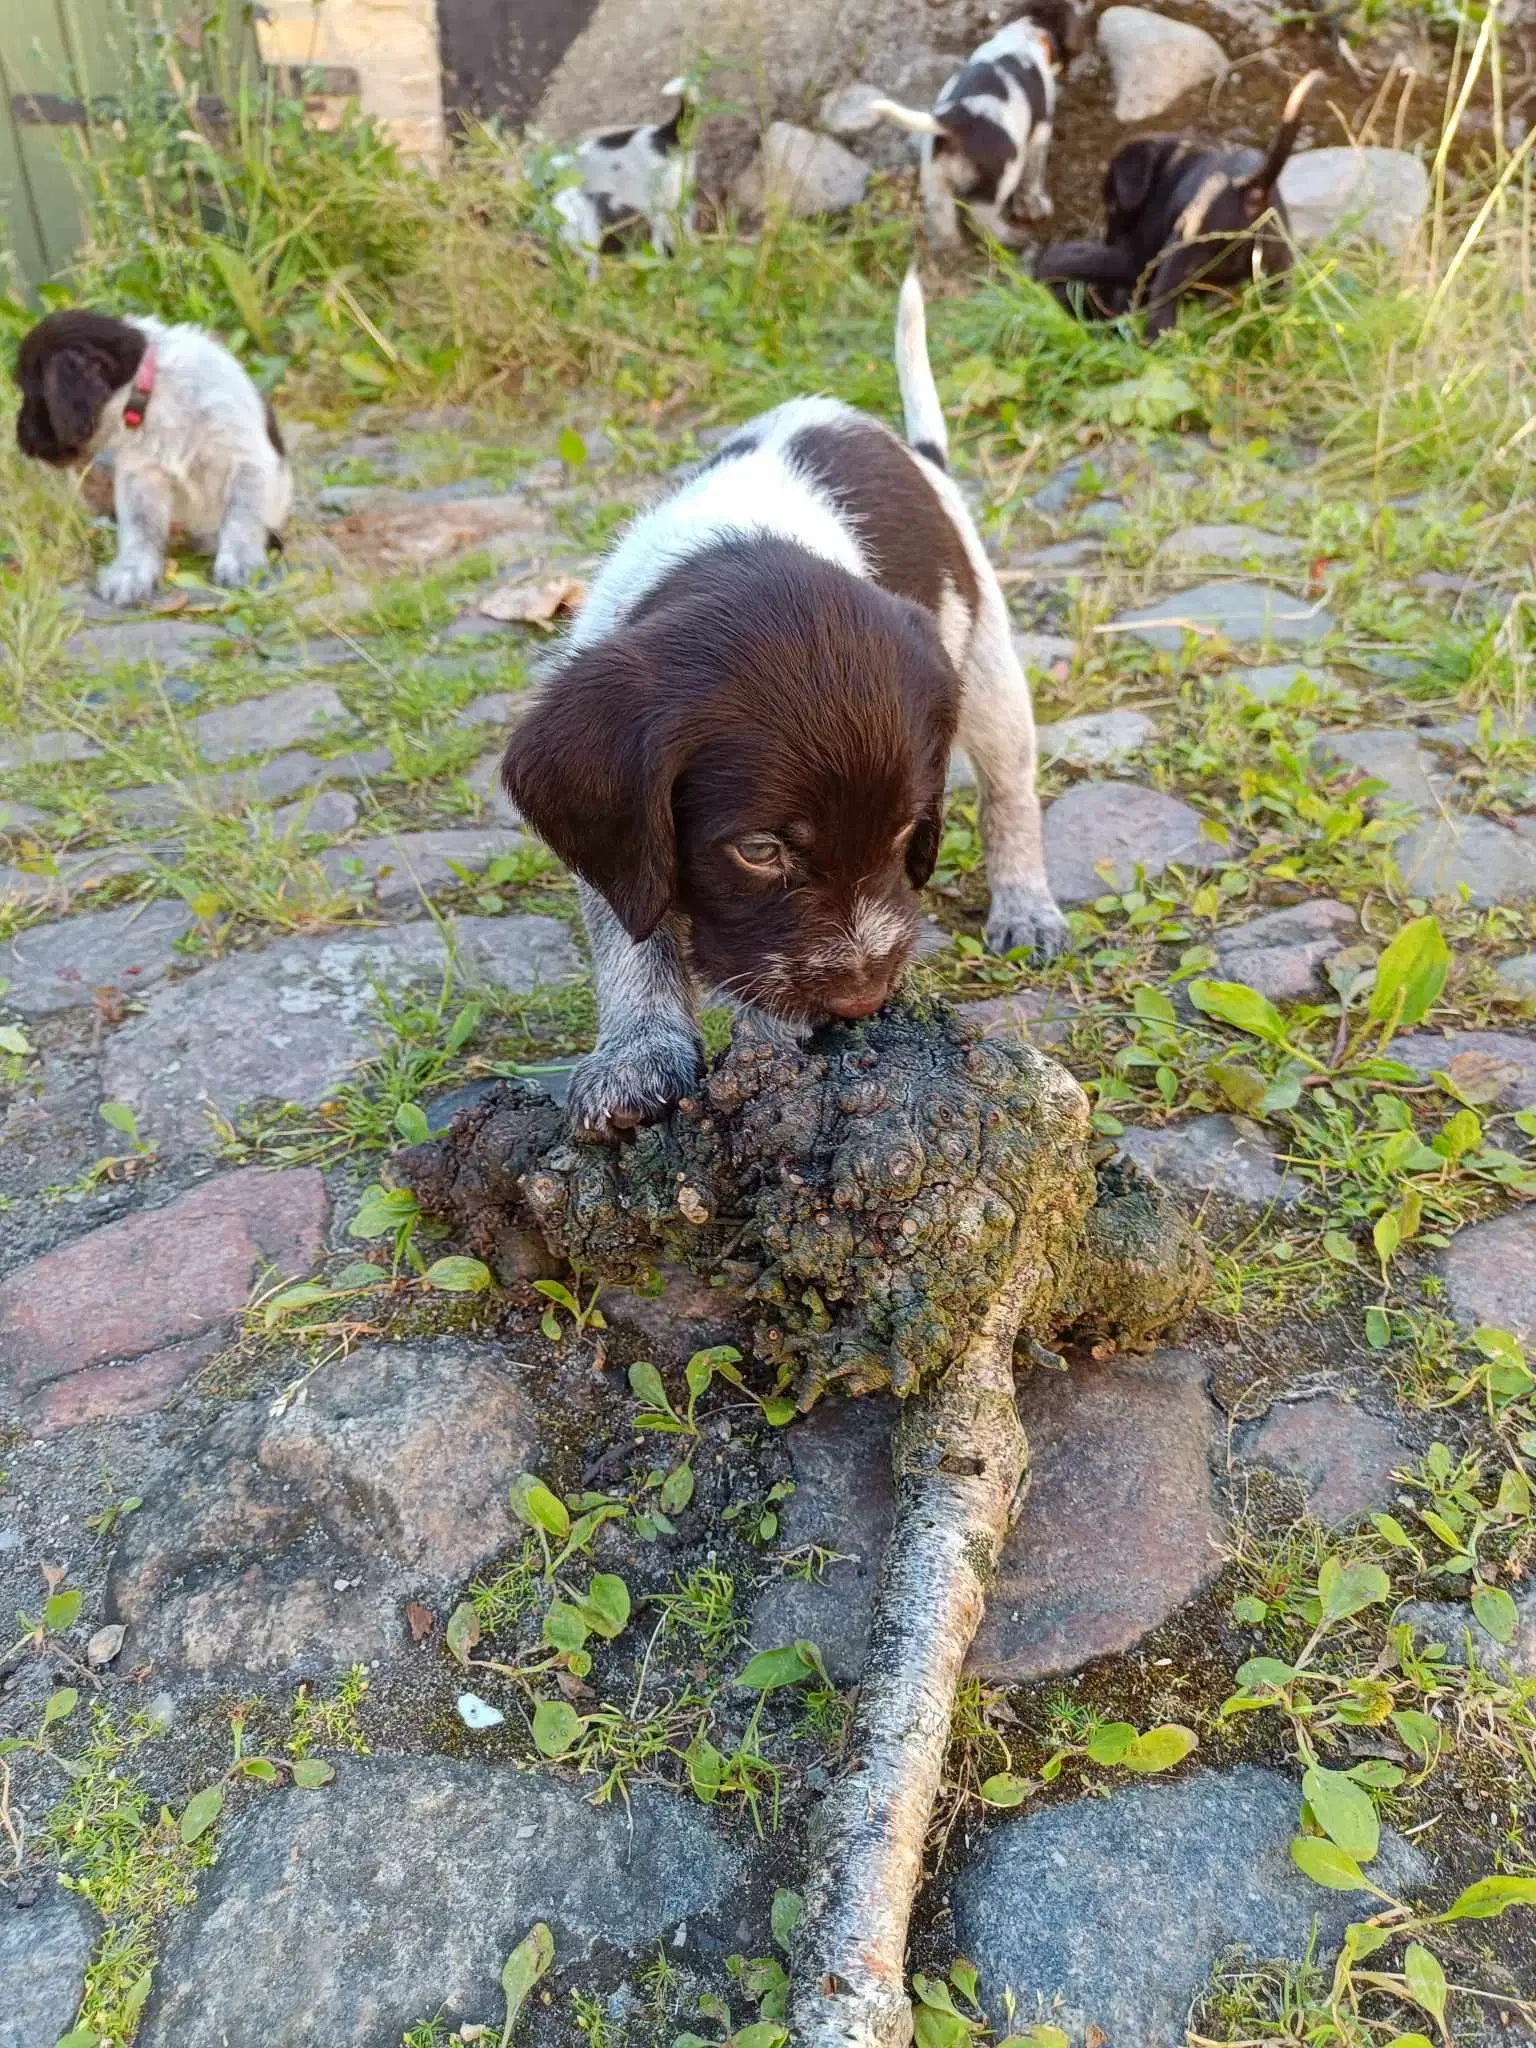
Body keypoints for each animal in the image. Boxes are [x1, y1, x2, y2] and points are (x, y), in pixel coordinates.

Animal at [15, 307, 290, 602]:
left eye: (30, 392)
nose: (20, 440)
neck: (156, 391)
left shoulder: (245, 459)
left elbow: (241, 518)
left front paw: (241, 562)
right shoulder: (141, 474)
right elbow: (141, 530)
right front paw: (132, 571)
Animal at [505, 268, 1073, 1138]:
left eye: (907, 830)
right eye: (760, 850)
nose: (862, 1003)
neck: (740, 549)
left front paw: (769, 1046)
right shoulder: (618, 824)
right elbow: (630, 929)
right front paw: (638, 1051)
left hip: (989, 666)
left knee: (1011, 793)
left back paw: (1026, 904)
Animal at [868, 4, 1097, 247]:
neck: (1025, 35)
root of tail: (956, 118)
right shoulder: (1040, 135)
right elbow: (1033, 178)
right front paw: (1033, 204)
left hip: (935, 177)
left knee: (943, 216)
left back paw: (951, 246)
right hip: (1002, 177)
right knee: (981, 218)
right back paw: (1011, 237)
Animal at [1040, 68, 1327, 333]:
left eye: (1112, 205)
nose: (1108, 240)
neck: (1171, 164)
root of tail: (1251, 187)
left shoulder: (1136, 256)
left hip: (1176, 267)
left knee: (1161, 319)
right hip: (1277, 272)